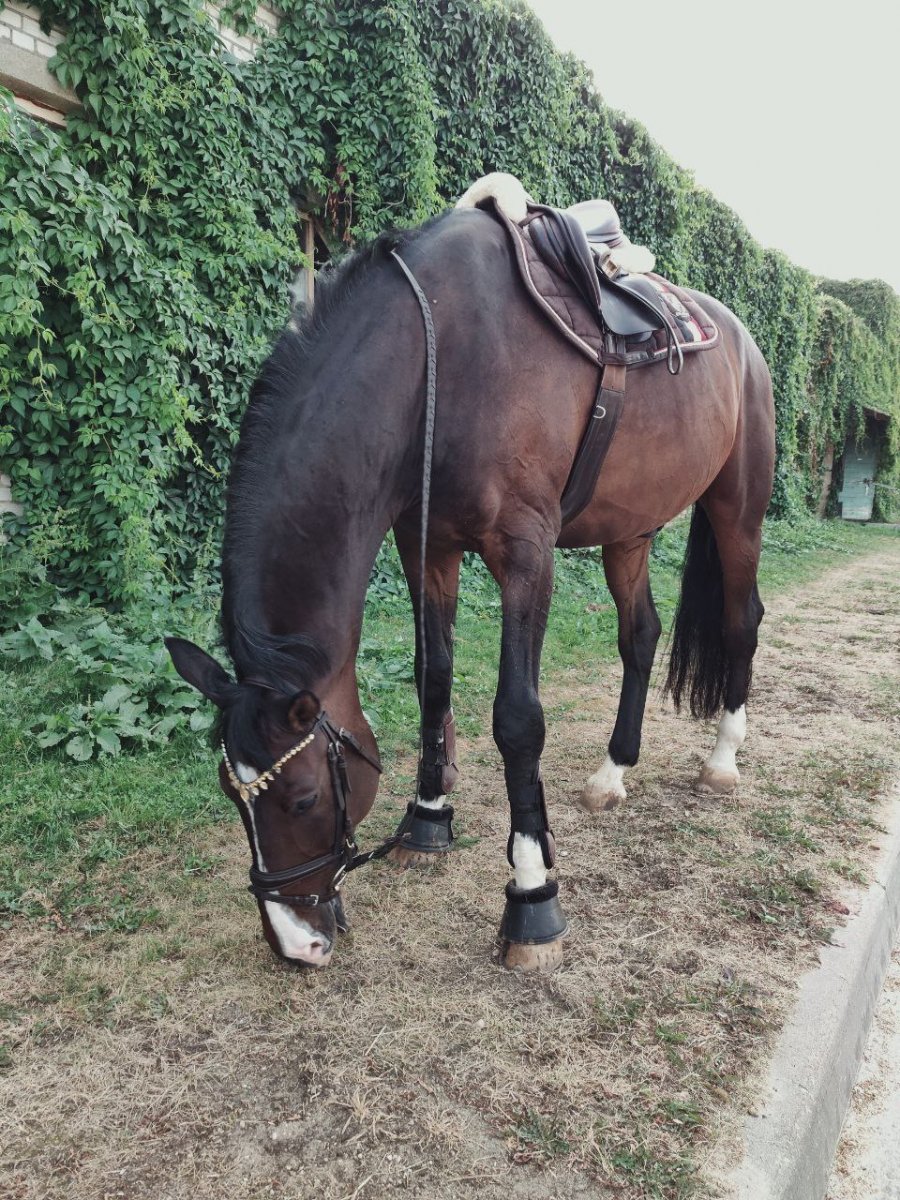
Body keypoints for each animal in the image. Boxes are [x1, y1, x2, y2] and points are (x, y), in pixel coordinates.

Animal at [168, 182, 777, 969]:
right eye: (229, 794)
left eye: (301, 798)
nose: (295, 942)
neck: (439, 358)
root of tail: (739, 336)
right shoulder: (428, 546)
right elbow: (434, 681)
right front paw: (429, 818)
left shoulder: (525, 550)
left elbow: (518, 719)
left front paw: (532, 893)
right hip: (629, 530)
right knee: (640, 634)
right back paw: (614, 771)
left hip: (738, 509)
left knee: (740, 621)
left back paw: (723, 759)